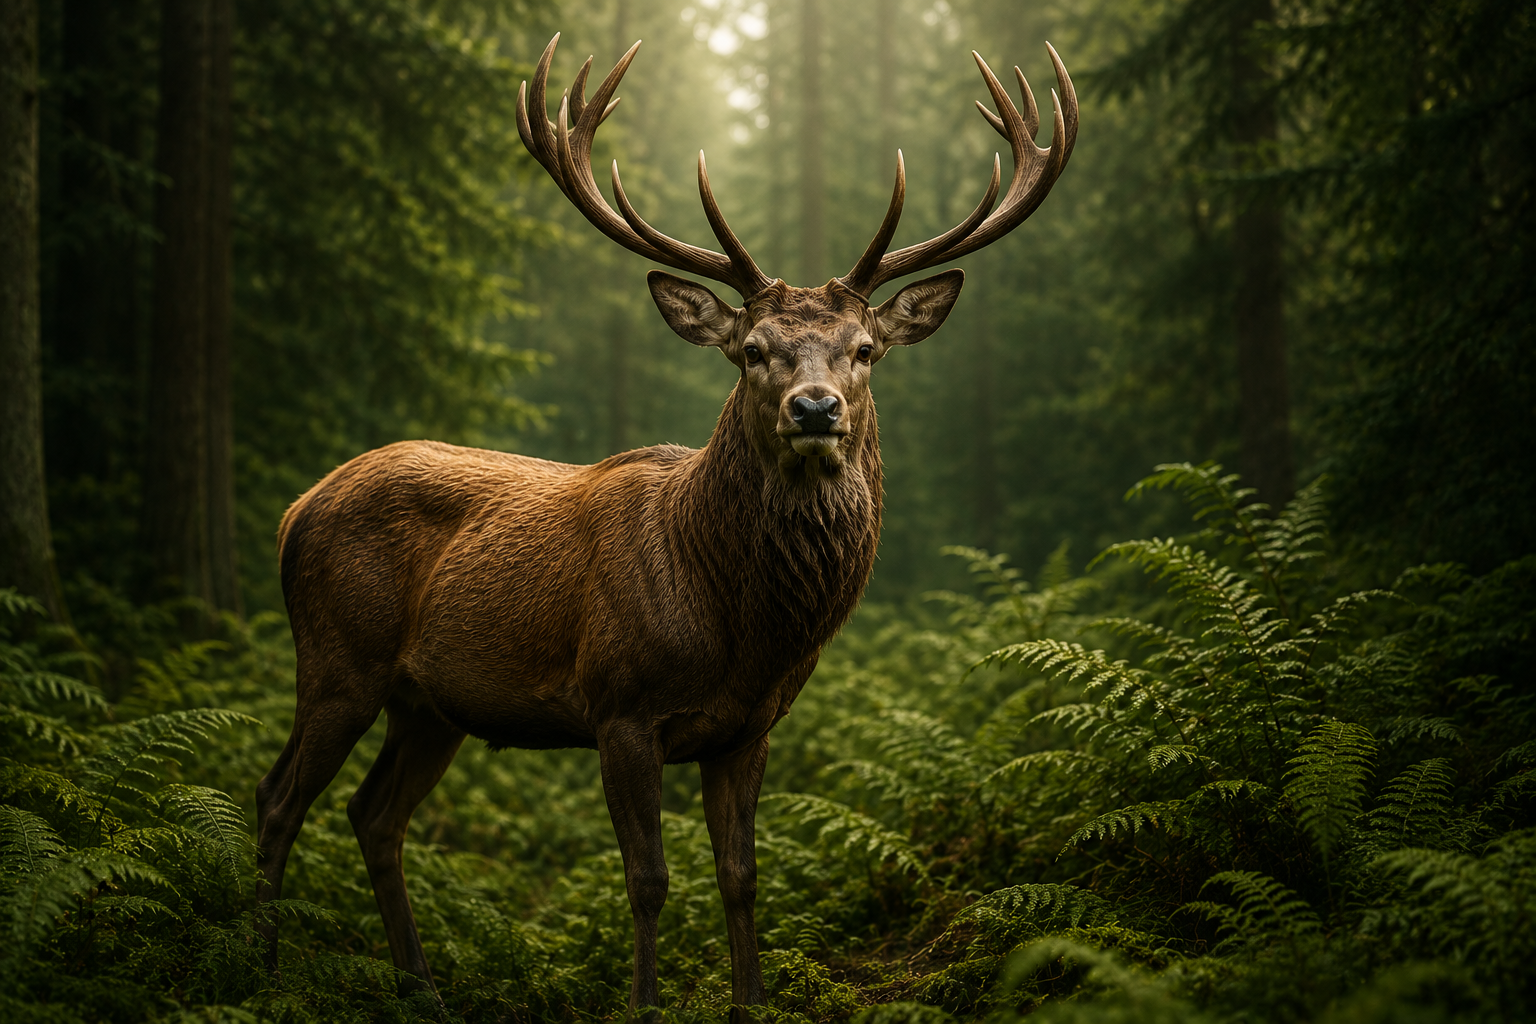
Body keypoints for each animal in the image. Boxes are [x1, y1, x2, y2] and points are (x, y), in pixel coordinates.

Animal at [254, 30, 1076, 1020]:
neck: (741, 628)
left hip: (431, 705)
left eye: (865, 350)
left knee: (374, 817)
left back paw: (422, 990)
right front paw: (645, 1002)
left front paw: (751, 1000)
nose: (815, 408)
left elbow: (742, 876)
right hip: (338, 656)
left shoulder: (751, 727)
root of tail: (297, 508)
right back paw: (253, 971)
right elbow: (646, 880)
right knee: (277, 799)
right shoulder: (620, 706)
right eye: (752, 350)